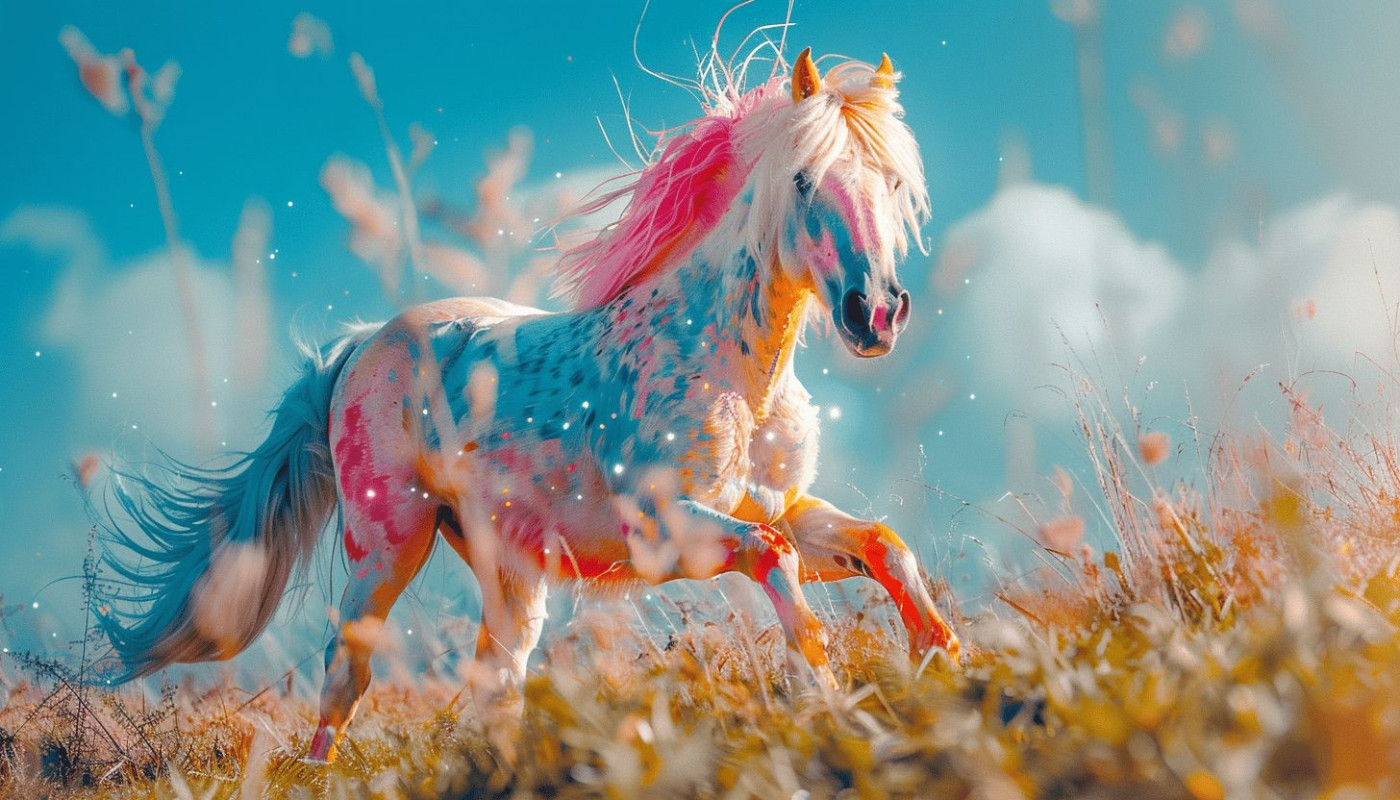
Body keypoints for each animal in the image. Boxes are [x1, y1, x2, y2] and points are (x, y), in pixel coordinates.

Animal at [98, 47, 961, 763]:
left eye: (892, 183)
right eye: (806, 179)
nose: (875, 314)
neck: (733, 370)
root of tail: (360, 346)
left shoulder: (779, 504)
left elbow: (883, 545)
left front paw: (944, 660)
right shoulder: (664, 529)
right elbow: (774, 557)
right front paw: (825, 695)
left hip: (507, 569)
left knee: (497, 683)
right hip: (387, 548)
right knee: (348, 677)